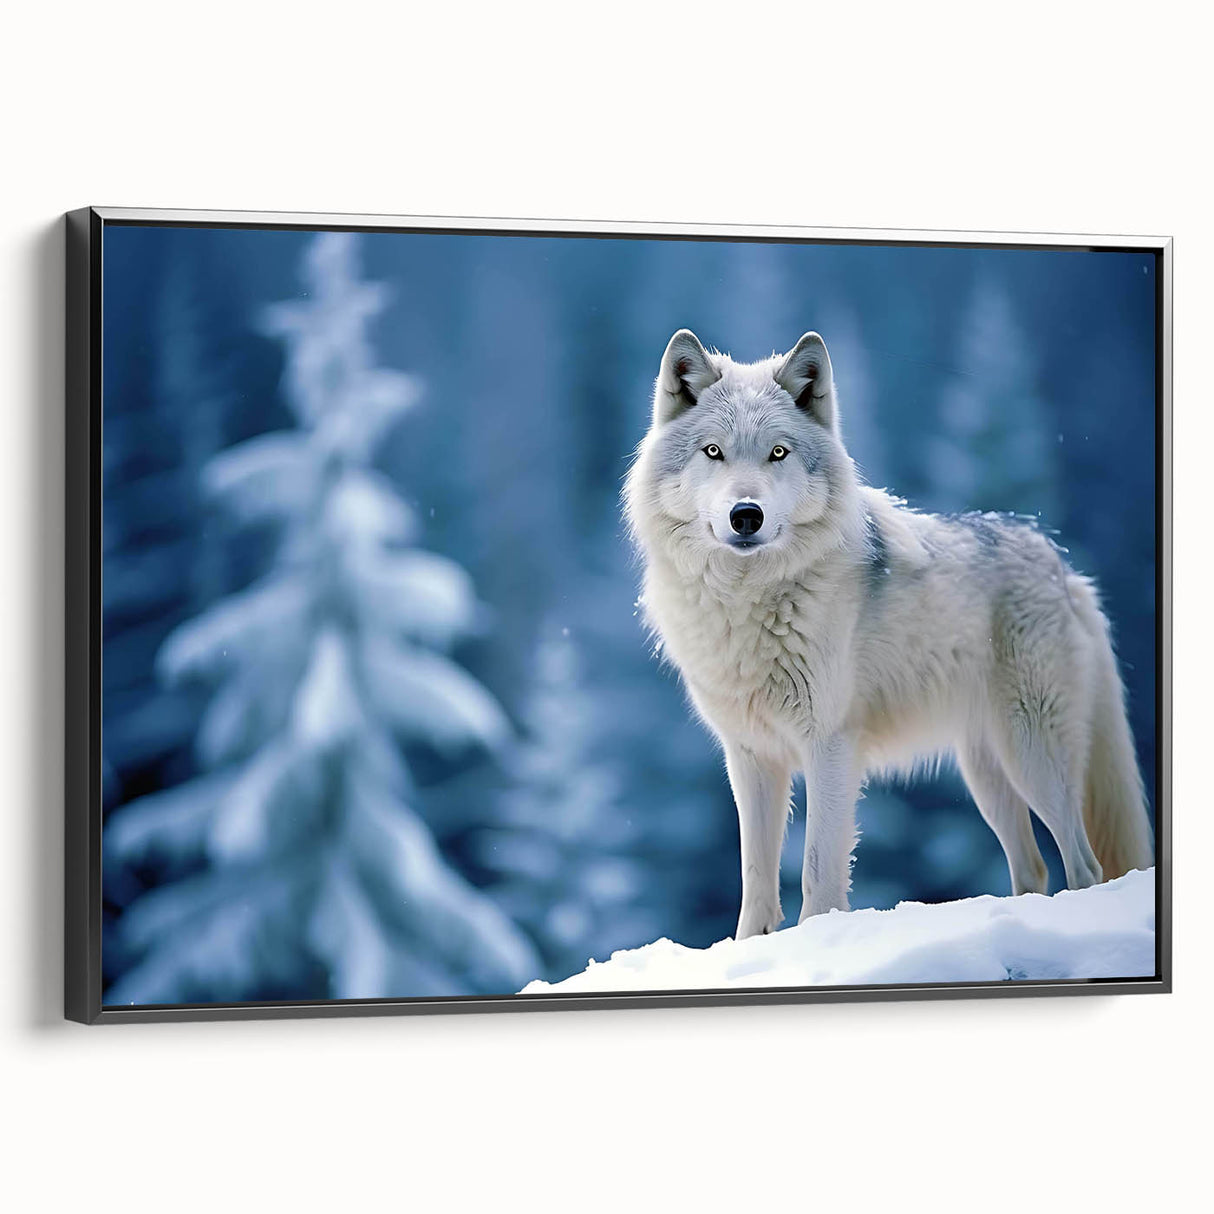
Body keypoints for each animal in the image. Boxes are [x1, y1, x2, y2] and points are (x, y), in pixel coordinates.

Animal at [624, 328, 1154, 939]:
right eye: (713, 452)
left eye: (778, 452)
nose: (746, 515)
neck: (747, 603)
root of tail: (1065, 570)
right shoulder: (752, 757)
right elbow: (755, 880)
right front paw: (752, 947)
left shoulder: (830, 746)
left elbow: (817, 871)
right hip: (988, 776)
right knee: (1035, 869)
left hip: (1033, 757)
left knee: (1084, 866)